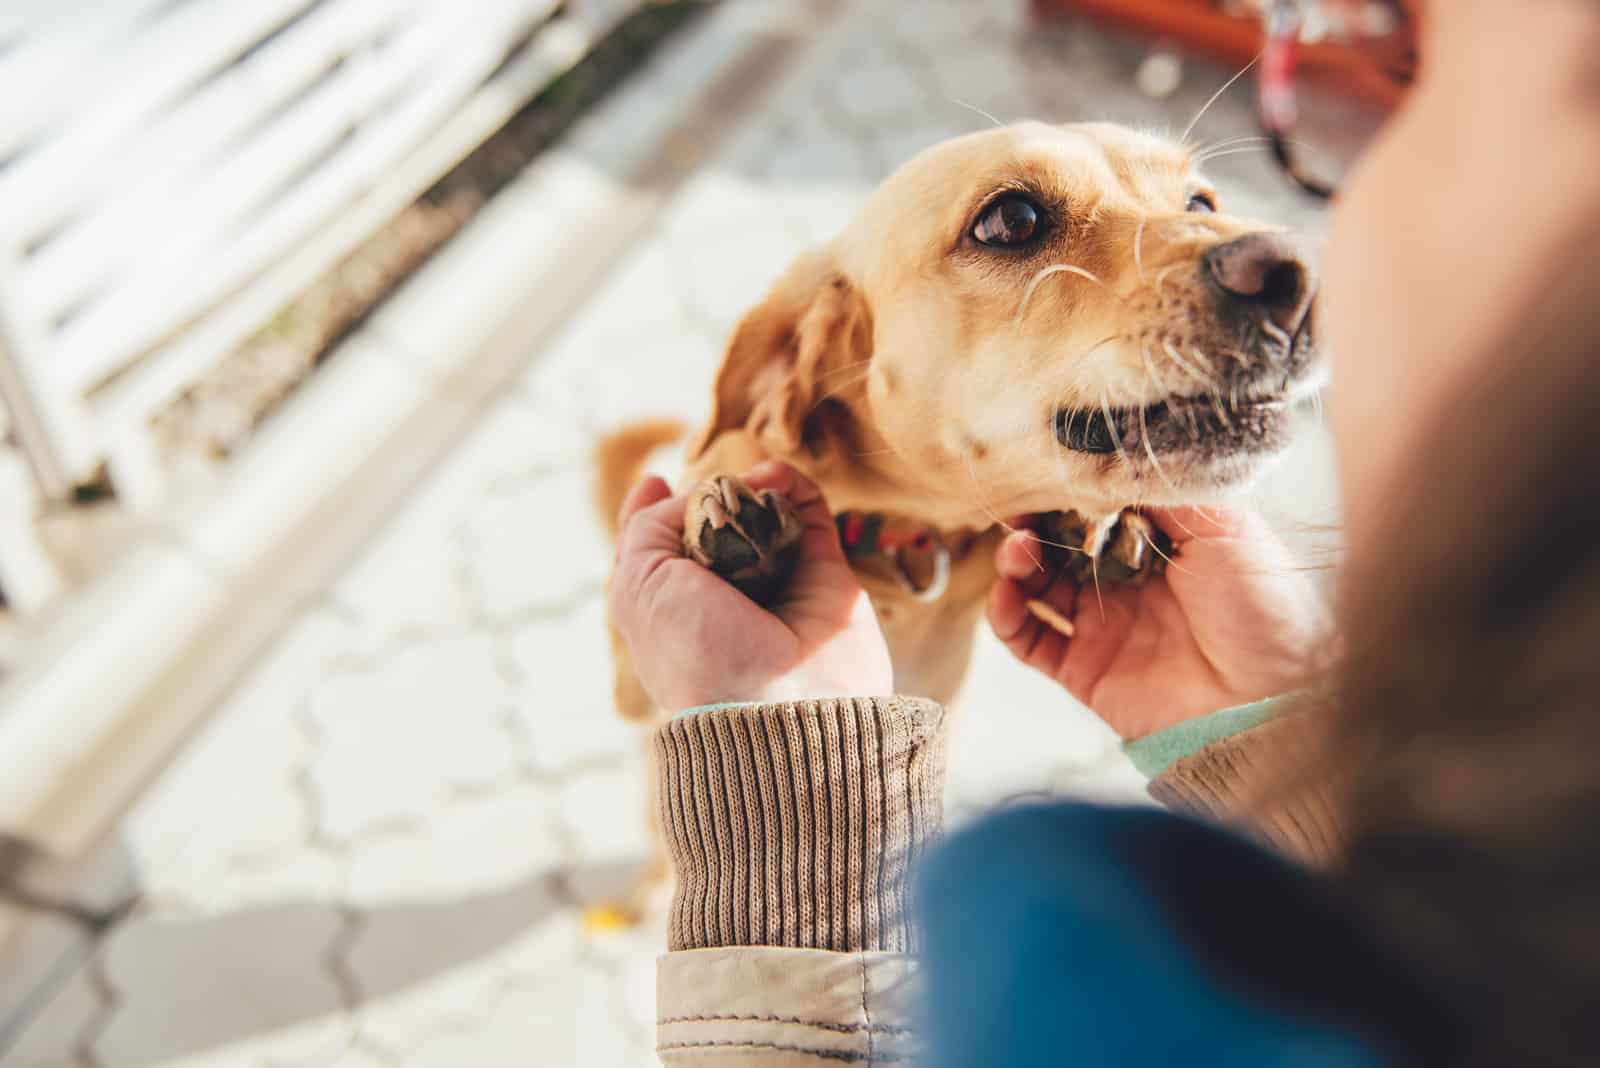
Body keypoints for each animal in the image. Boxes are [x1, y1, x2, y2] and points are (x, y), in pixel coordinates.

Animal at [595, 115, 1318, 920]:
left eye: (1201, 201)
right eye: (1011, 220)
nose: (1292, 278)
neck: (901, 538)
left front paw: (1104, 527)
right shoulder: (629, 681)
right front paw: (734, 537)